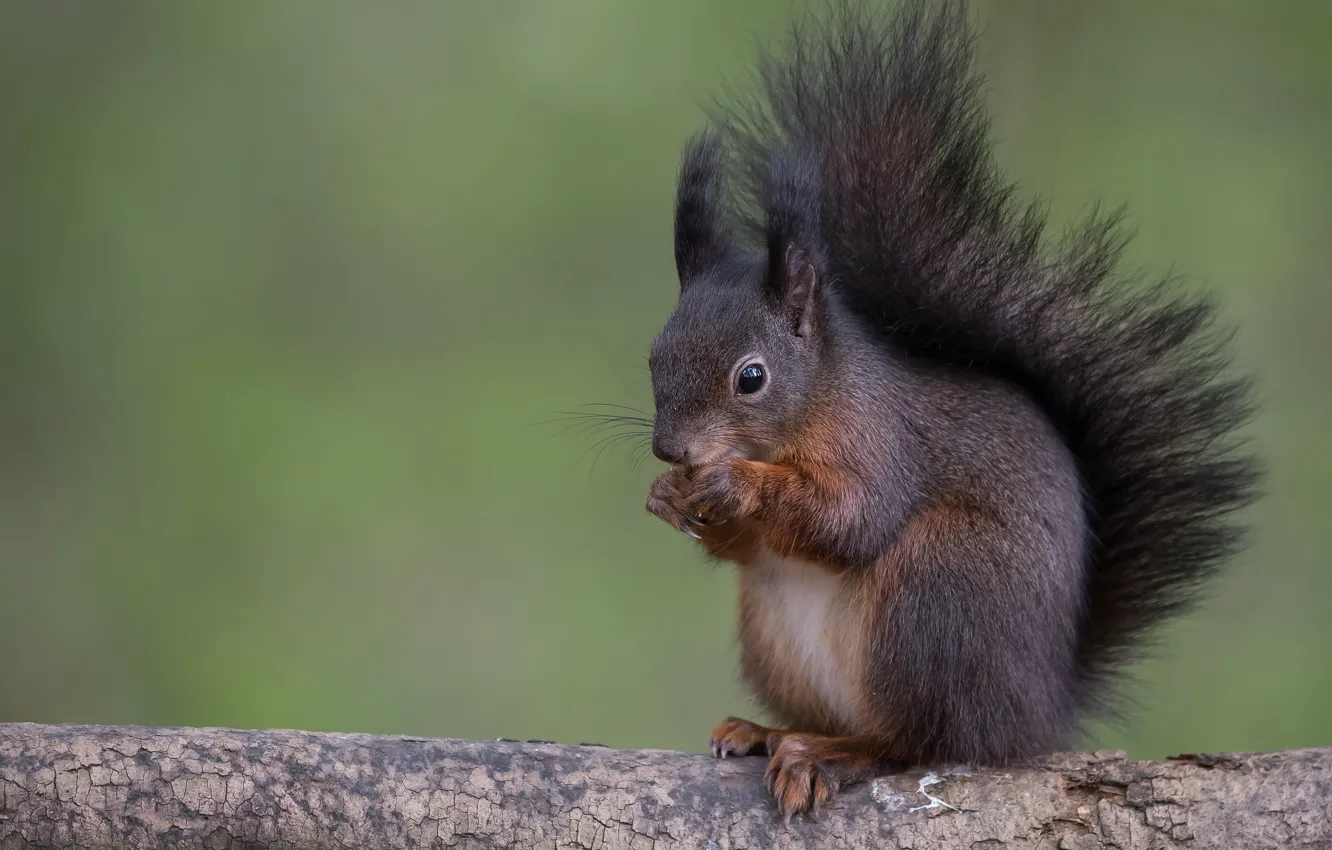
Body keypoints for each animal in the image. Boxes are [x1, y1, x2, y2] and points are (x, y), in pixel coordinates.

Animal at [642, 0, 1261, 822]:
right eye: (654, 356)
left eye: (752, 377)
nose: (671, 450)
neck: (816, 403)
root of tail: (1035, 709)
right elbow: (748, 548)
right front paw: (666, 497)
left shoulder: (882, 442)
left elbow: (849, 518)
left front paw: (735, 484)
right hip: (778, 634)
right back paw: (765, 730)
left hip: (937, 594)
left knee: (919, 741)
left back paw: (829, 752)